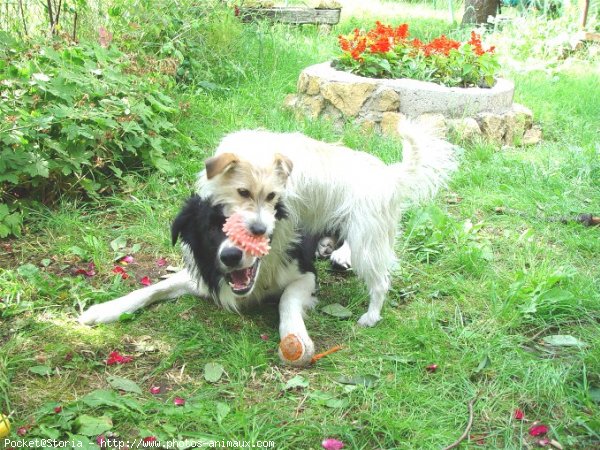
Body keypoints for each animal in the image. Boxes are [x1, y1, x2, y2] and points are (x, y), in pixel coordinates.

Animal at [83, 193, 324, 366]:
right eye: (211, 228)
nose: (230, 256)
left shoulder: (305, 273)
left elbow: (287, 298)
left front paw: (294, 333)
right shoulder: (204, 275)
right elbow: (155, 288)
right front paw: (106, 309)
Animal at [199, 122, 458, 326]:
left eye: (272, 196)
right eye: (243, 192)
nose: (259, 230)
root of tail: (391, 176)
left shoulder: (284, 225)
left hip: (366, 241)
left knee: (380, 283)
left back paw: (371, 316)